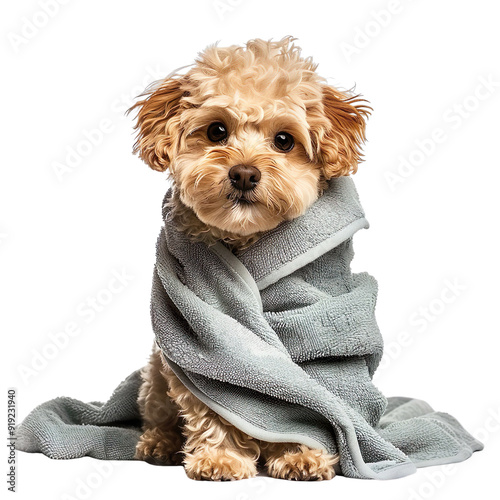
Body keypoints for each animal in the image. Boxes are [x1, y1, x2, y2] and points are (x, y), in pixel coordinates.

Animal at [129, 36, 372, 480]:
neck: (245, 240)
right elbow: (212, 405)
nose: (243, 173)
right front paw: (220, 457)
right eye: (217, 131)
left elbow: (308, 401)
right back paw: (160, 443)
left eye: (284, 140)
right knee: (158, 413)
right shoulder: (199, 354)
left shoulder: (317, 337)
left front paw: (301, 454)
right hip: (157, 371)